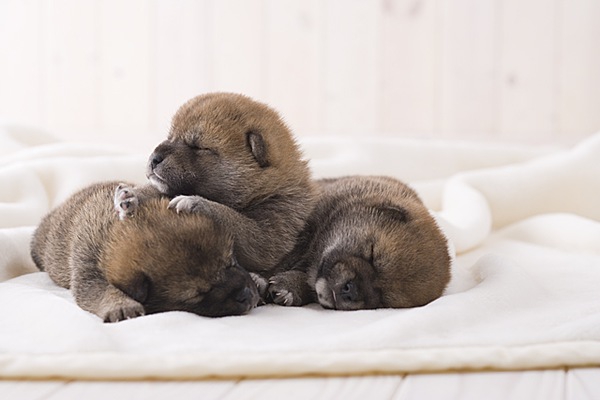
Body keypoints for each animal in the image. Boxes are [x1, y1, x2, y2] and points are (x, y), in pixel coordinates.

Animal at [29, 181, 260, 322]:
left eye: (231, 262)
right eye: (199, 294)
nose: (248, 296)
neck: (116, 230)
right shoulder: (87, 269)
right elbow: (100, 291)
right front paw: (122, 307)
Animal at [146, 92, 316, 276]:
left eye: (198, 147)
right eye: (170, 137)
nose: (154, 158)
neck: (267, 189)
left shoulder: (276, 224)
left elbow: (233, 219)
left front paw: (193, 202)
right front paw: (136, 194)